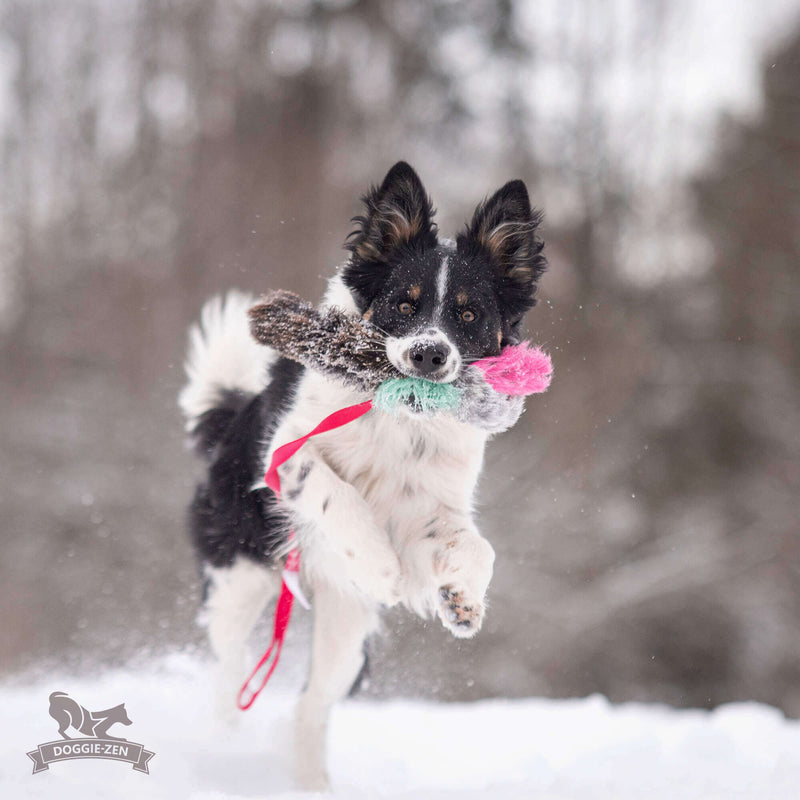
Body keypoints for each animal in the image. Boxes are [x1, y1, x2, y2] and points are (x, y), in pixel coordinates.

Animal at [178, 161, 548, 788]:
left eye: (468, 315)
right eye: (404, 304)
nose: (428, 355)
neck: (397, 414)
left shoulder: (432, 506)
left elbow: (475, 546)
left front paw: (462, 600)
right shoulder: (287, 451)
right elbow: (336, 493)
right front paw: (382, 567)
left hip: (345, 632)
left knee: (309, 706)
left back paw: (312, 785)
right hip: (239, 580)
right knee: (229, 676)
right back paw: (220, 748)